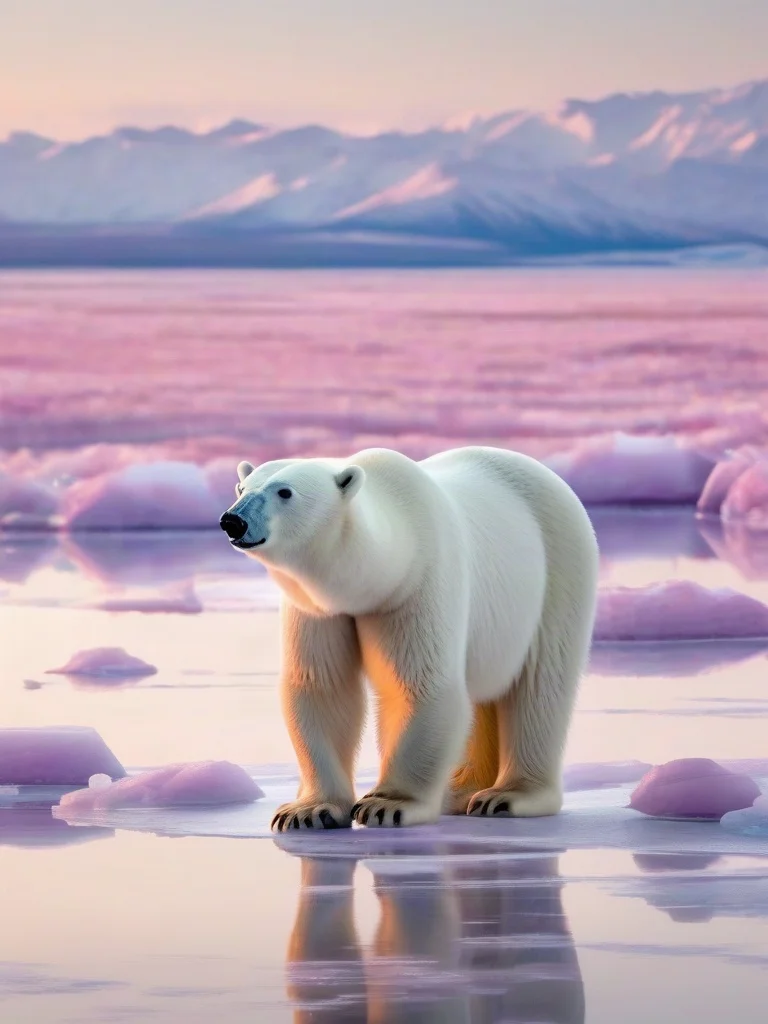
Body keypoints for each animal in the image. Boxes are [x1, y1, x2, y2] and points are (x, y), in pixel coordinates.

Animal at [219, 445, 599, 832]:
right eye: (241, 487)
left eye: (285, 492)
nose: (232, 521)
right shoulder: (319, 609)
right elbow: (322, 686)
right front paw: (308, 811)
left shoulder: (418, 583)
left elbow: (421, 683)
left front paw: (386, 804)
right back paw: (459, 791)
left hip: (558, 569)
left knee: (540, 685)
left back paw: (507, 796)